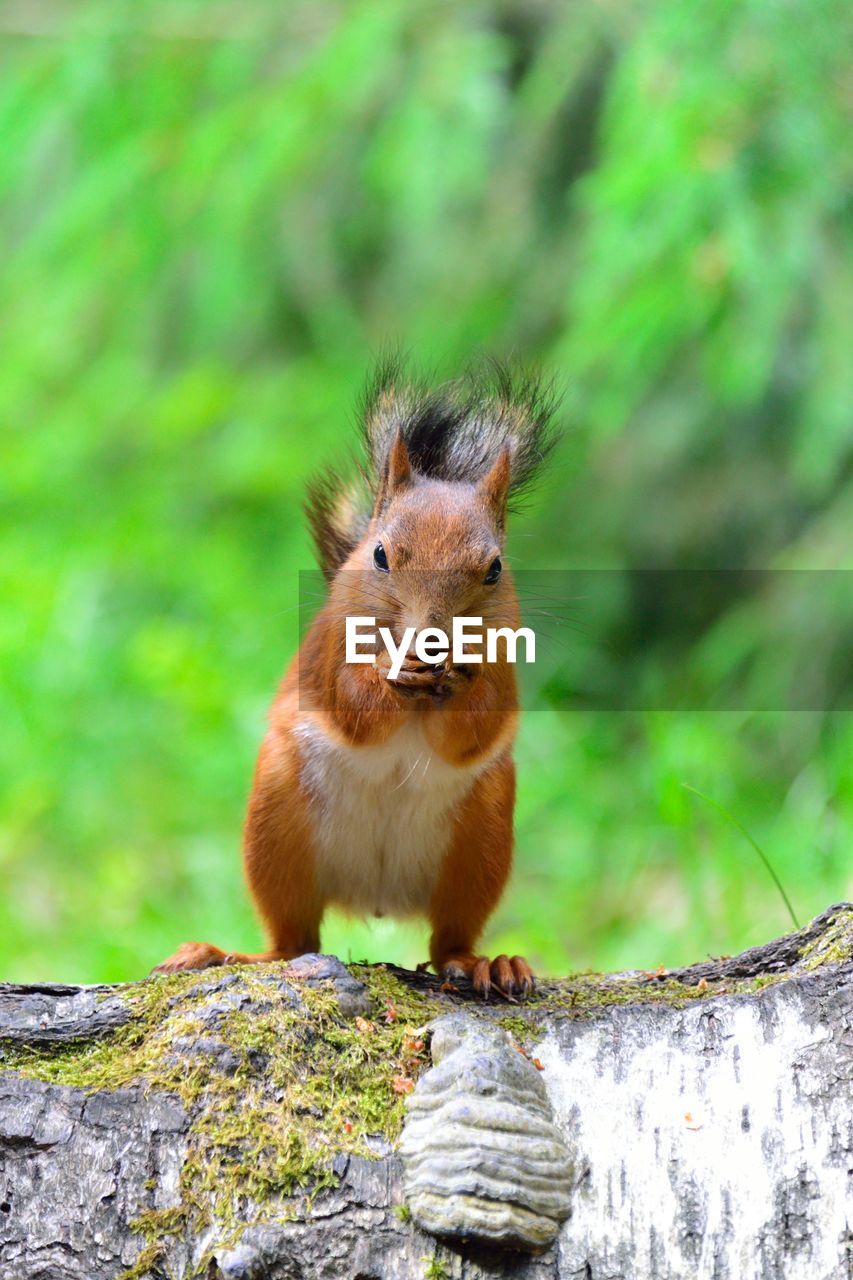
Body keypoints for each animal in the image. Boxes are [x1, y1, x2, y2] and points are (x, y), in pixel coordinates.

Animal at [156, 360, 558, 998]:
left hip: (482, 841)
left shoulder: (503, 668)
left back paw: (487, 964)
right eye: (380, 555)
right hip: (277, 824)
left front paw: (453, 681)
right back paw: (222, 954)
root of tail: (377, 895)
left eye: (495, 569)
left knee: (448, 941)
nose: (429, 641)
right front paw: (391, 673)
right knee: (294, 941)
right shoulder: (324, 656)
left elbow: (476, 725)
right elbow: (351, 706)